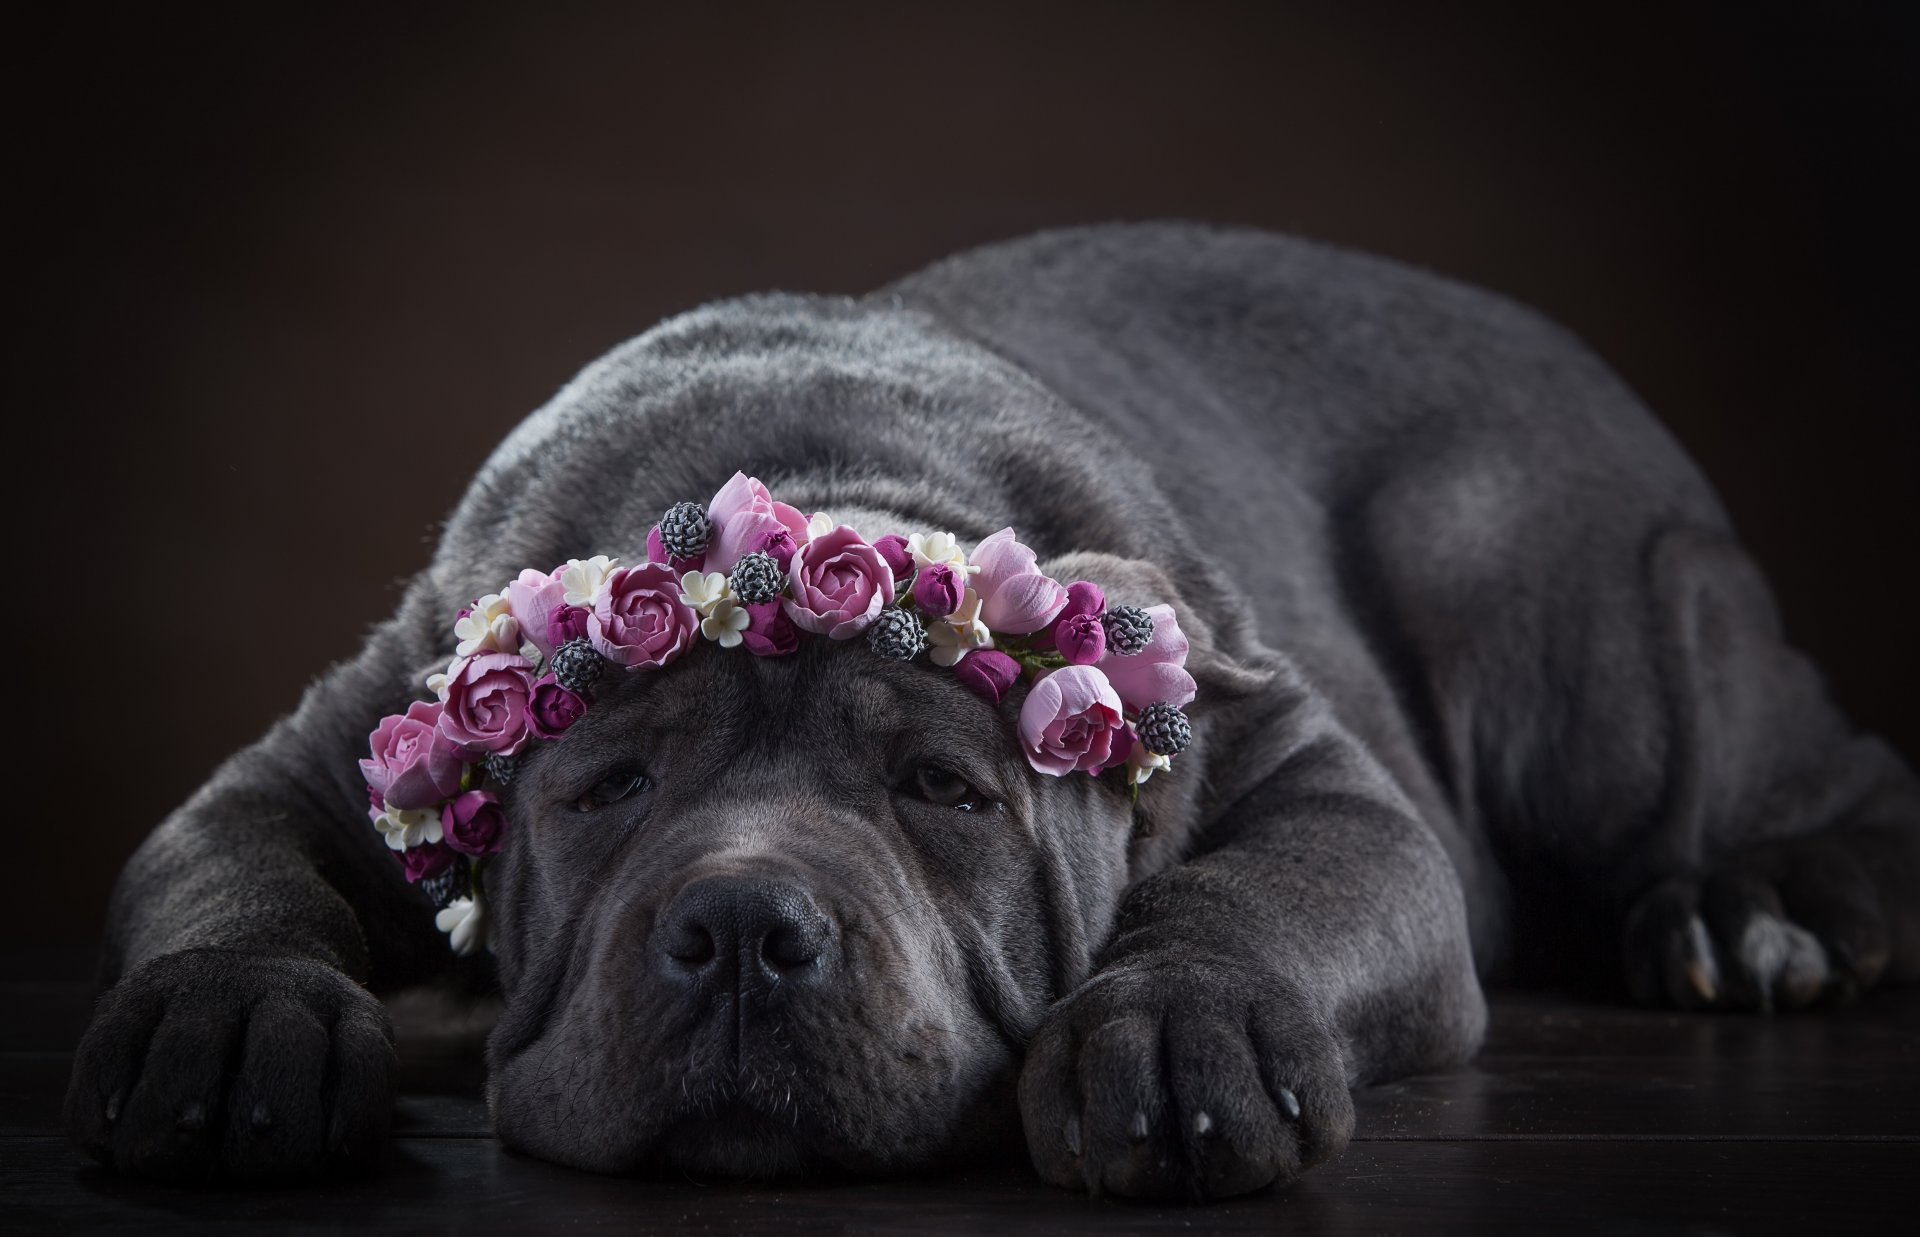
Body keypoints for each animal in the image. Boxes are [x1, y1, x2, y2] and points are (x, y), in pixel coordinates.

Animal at [63, 224, 1920, 1198]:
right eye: (604, 792)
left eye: (948, 794)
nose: (744, 929)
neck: (797, 468)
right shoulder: (319, 757)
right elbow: (235, 869)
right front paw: (231, 1016)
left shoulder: (1320, 781)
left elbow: (1247, 892)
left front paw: (1179, 1024)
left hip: (1566, 621)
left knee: (1816, 775)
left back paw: (1756, 913)